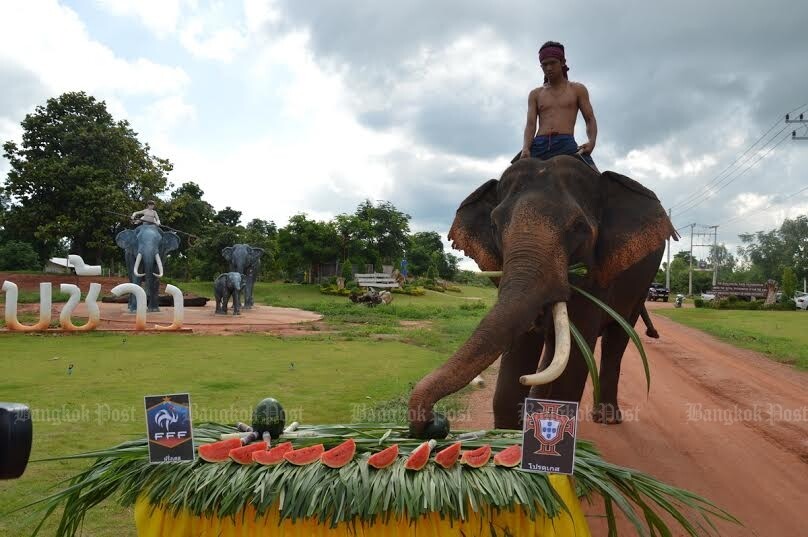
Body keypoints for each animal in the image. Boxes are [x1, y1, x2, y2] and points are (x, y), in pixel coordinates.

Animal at [408, 156, 680, 436]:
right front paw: (513, 433)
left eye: (578, 226)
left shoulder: (599, 274)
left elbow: (573, 363)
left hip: (640, 287)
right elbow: (516, 357)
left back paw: (606, 417)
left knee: (617, 338)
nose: (433, 420)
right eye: (494, 225)